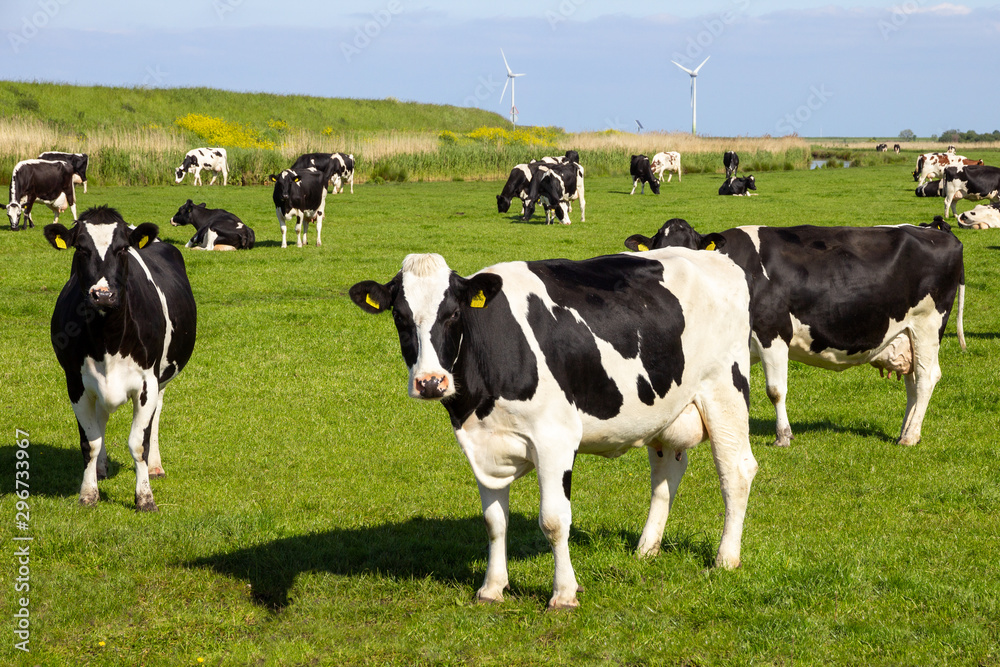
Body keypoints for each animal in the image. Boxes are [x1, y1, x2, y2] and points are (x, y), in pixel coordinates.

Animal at [43, 207, 197, 512]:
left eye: (123, 248)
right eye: (81, 248)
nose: (103, 295)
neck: (108, 339)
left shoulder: (148, 383)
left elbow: (139, 443)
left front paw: (145, 498)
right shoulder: (75, 383)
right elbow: (89, 442)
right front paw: (88, 493)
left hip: (161, 379)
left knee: (156, 417)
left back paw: (155, 467)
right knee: (100, 419)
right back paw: (101, 468)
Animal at [348, 250, 752, 612]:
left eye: (453, 314)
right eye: (399, 316)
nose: (431, 382)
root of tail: (715, 257)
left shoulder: (554, 439)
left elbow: (554, 520)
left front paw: (564, 594)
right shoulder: (482, 444)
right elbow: (494, 521)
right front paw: (492, 588)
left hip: (725, 389)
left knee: (737, 471)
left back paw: (725, 558)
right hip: (665, 410)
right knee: (667, 472)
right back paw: (646, 549)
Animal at [624, 219, 968, 448]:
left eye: (691, 252)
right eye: (656, 250)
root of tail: (937, 231)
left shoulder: (773, 331)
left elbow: (775, 390)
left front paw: (783, 436)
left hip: (928, 324)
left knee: (926, 377)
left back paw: (909, 437)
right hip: (906, 332)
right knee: (913, 381)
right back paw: (906, 430)